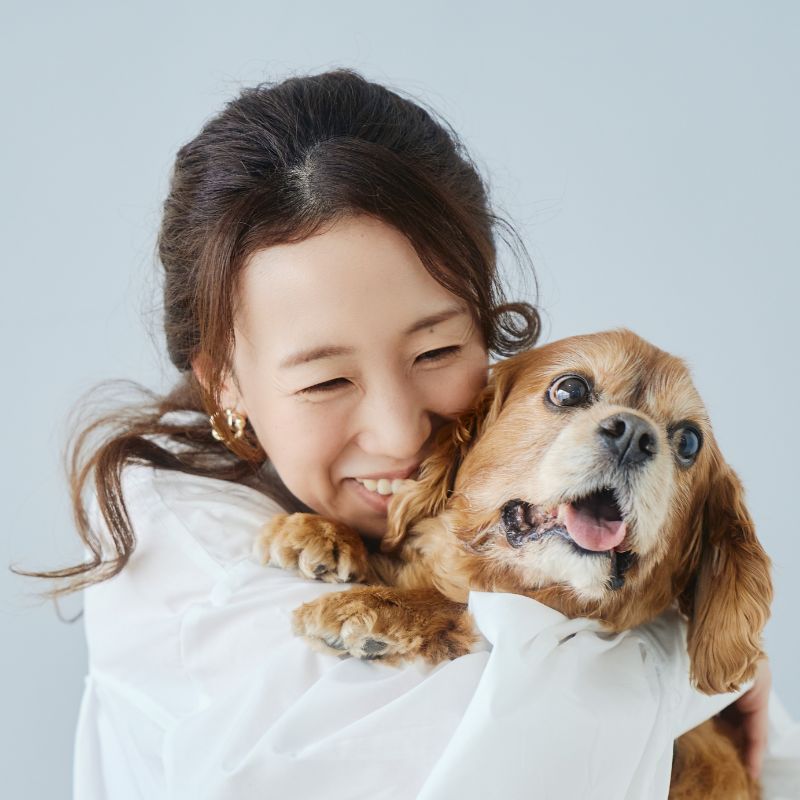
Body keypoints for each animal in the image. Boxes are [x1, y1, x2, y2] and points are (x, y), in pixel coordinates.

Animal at [255, 328, 768, 796]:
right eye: (569, 390)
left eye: (689, 442)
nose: (635, 435)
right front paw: (323, 534)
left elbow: (456, 606)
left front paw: (371, 608)